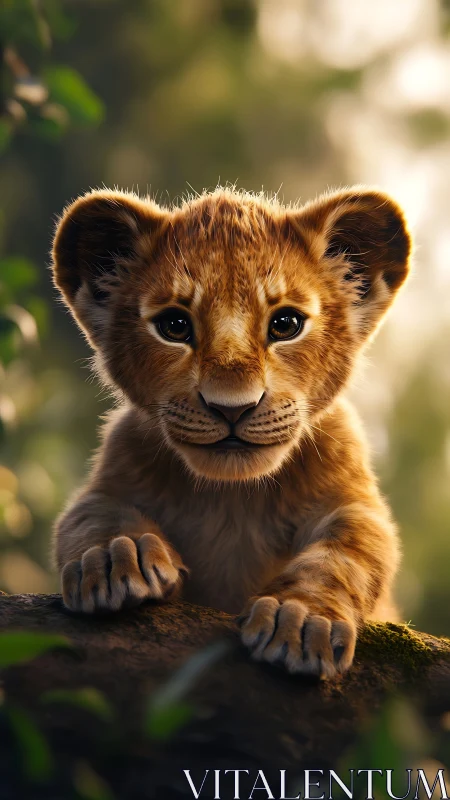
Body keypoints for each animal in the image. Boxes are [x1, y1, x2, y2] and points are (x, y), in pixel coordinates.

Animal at [50, 185, 411, 678]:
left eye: (285, 324)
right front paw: (114, 558)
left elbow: (347, 553)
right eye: (174, 326)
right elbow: (90, 516)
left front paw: (301, 619)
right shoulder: (109, 478)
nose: (231, 408)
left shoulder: (354, 501)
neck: (233, 496)